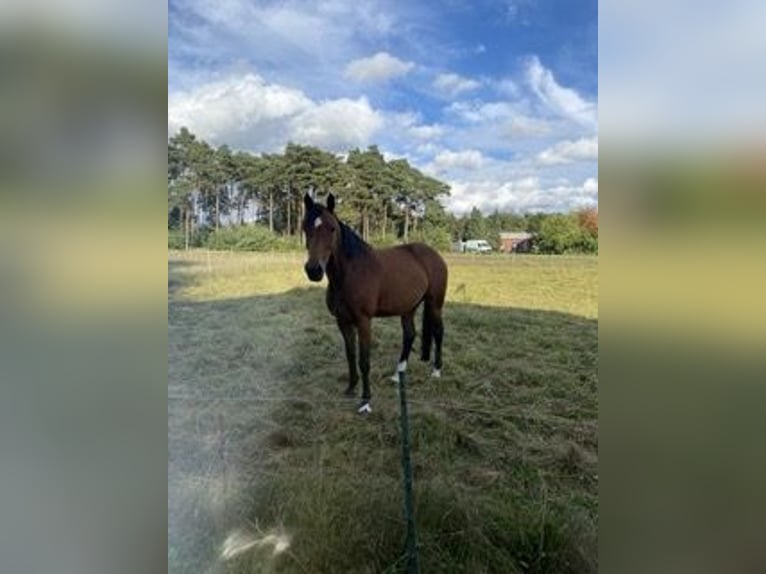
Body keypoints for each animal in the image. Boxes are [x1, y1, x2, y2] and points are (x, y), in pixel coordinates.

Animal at [302, 194, 450, 414]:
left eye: (332, 228)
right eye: (305, 227)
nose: (314, 271)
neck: (350, 273)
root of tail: (434, 254)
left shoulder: (364, 322)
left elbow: (364, 360)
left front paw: (365, 401)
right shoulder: (343, 322)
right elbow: (350, 355)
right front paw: (350, 389)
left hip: (435, 304)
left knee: (438, 332)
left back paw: (436, 371)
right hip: (408, 308)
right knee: (409, 335)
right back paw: (397, 374)